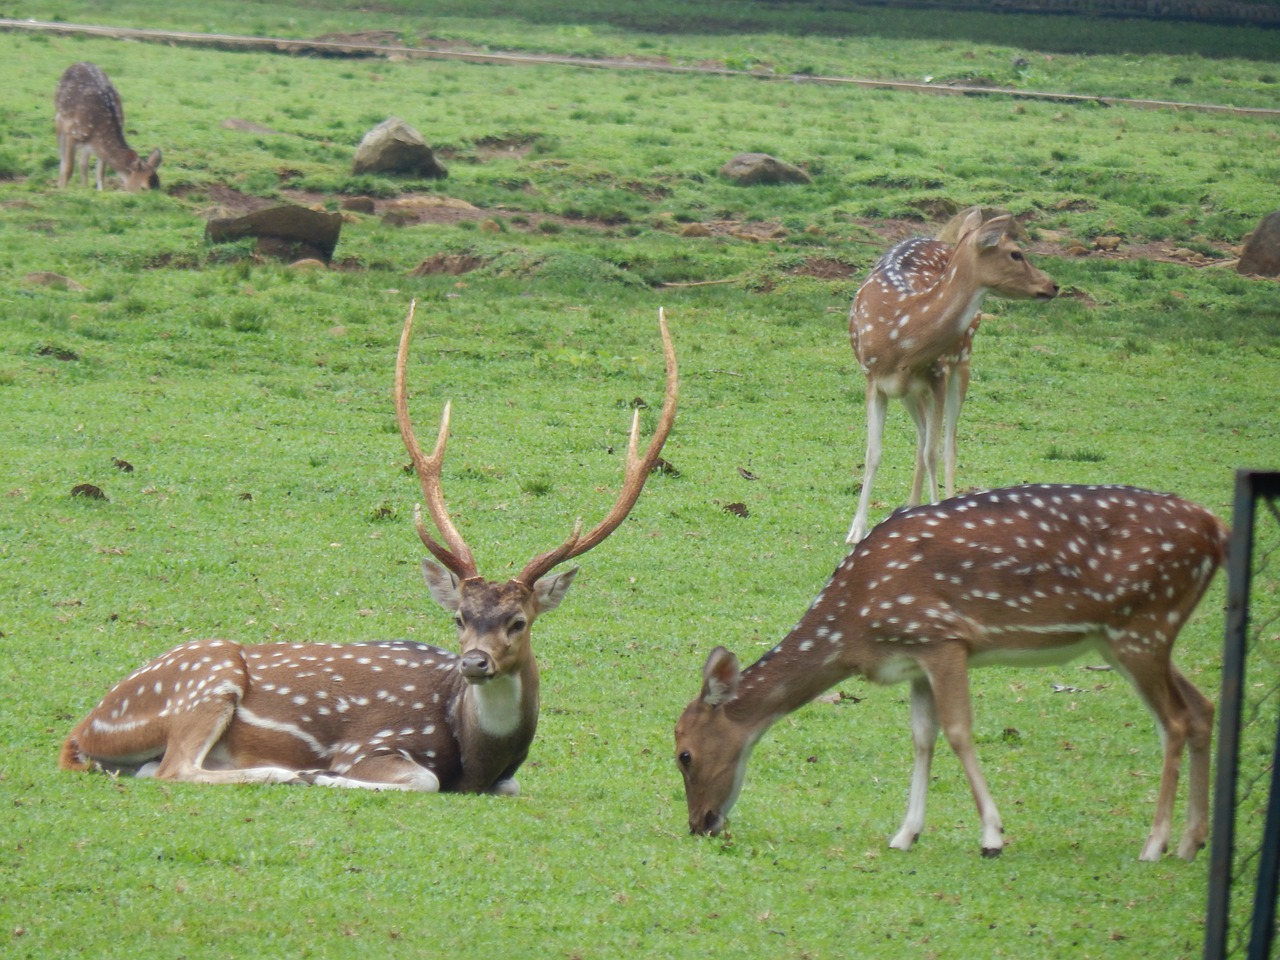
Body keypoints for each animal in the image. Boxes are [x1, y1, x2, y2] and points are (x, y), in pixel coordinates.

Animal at [53, 63, 161, 193]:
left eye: (159, 185)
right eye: (143, 188)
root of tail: (79, 63)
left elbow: (100, 171)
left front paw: (100, 191)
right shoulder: (73, 133)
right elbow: (68, 167)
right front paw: (62, 190)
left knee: (83, 163)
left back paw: (85, 187)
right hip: (59, 118)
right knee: (62, 156)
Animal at [62, 304, 680, 793]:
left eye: (519, 621)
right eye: (459, 617)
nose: (474, 661)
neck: (478, 759)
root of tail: (84, 727)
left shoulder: (506, 779)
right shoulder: (374, 742)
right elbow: (421, 779)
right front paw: (326, 775)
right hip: (207, 680)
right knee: (174, 768)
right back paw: (288, 773)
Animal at [680, 483, 1228, 860]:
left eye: (683, 754)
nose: (700, 823)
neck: (856, 626)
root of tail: (1218, 530)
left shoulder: (943, 637)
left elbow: (960, 731)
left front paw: (992, 836)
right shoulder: (916, 659)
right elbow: (923, 738)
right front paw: (905, 834)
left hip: (1143, 626)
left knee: (1174, 721)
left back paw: (1154, 845)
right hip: (1134, 637)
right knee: (1203, 707)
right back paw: (1191, 843)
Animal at [839, 208, 1059, 547]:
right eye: (1016, 253)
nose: (1053, 285)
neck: (900, 336)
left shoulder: (938, 375)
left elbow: (935, 452)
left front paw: (936, 515)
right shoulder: (873, 378)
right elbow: (874, 452)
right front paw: (856, 531)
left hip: (962, 359)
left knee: (947, 445)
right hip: (910, 391)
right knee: (921, 438)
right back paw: (910, 506)